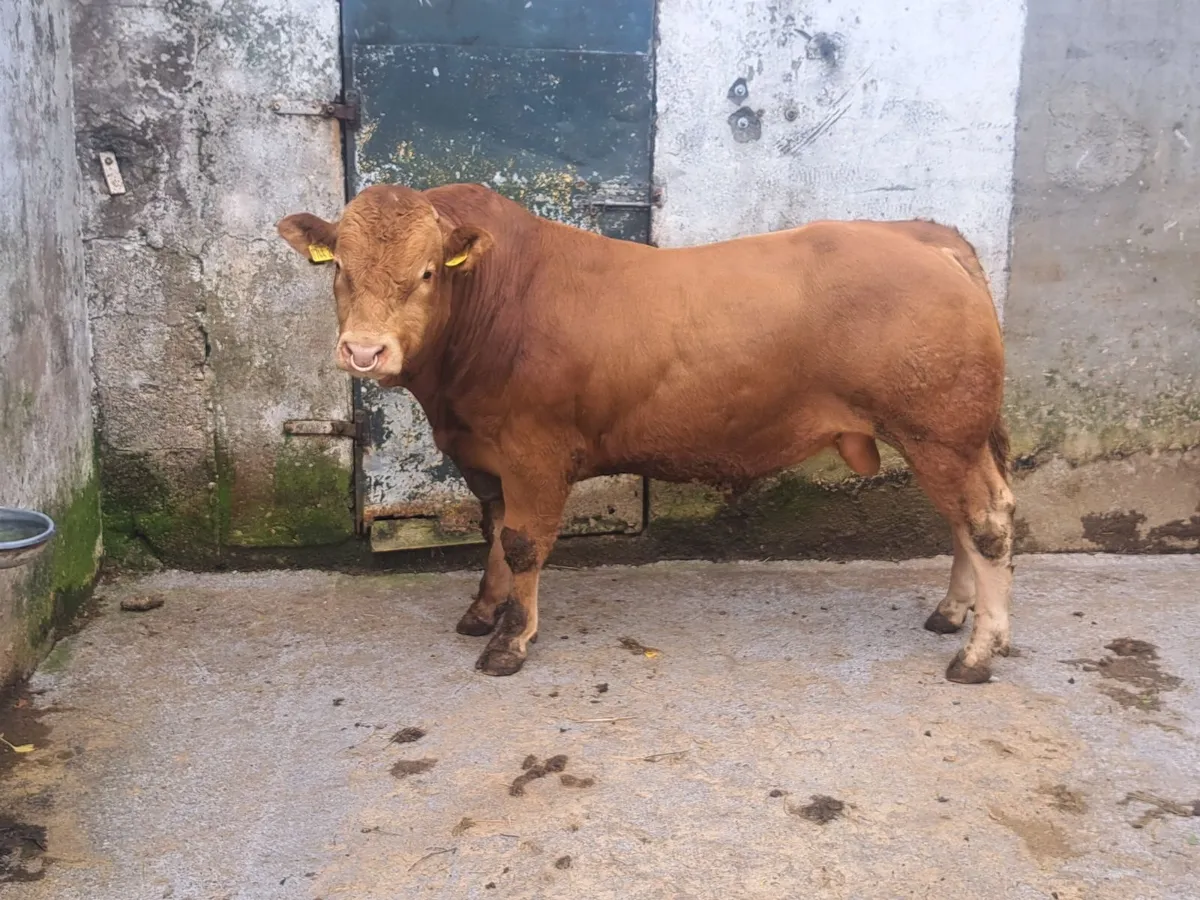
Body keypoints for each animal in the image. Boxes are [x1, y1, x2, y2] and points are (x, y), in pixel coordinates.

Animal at [277, 182, 1014, 684]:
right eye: (338, 266)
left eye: (428, 271)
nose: (364, 351)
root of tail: (923, 236)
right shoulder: (482, 455)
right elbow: (493, 534)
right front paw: (482, 611)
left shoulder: (534, 452)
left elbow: (522, 544)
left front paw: (510, 641)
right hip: (952, 437)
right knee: (968, 520)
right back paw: (954, 613)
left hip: (939, 432)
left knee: (986, 524)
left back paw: (978, 650)